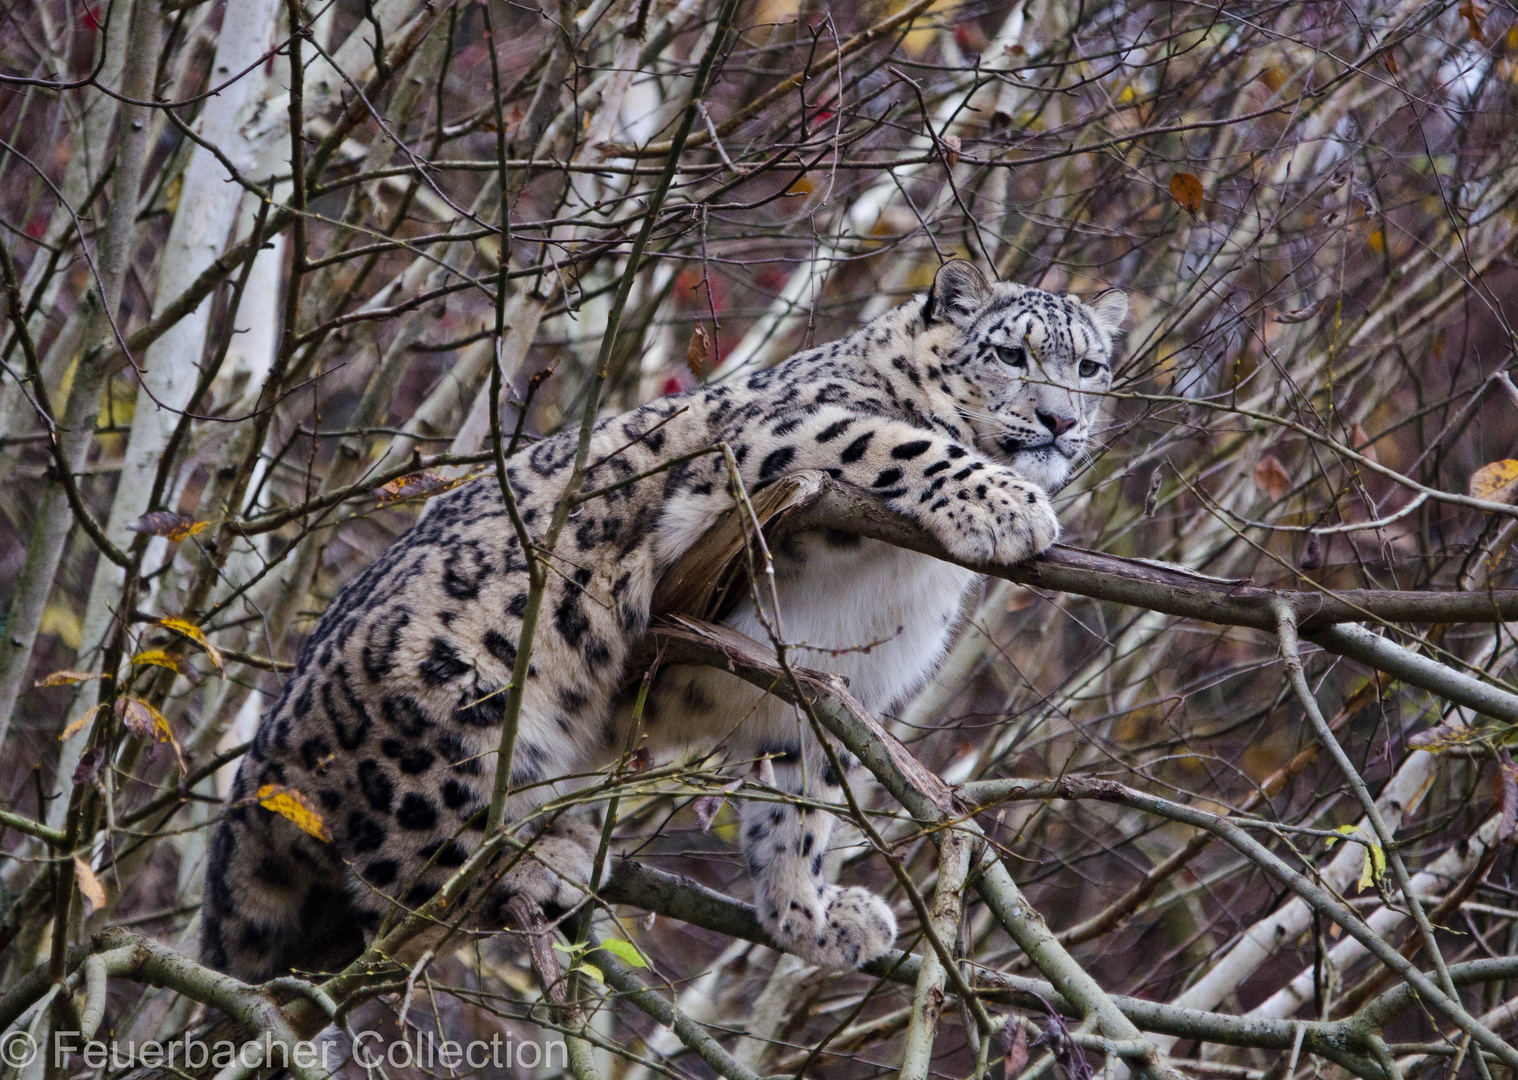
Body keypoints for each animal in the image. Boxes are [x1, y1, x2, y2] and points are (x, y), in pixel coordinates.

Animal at [201, 259, 1129, 978]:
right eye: (1010, 353)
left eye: (1089, 366)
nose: (1060, 421)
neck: (903, 573)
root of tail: (254, 777)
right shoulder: (777, 435)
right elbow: (900, 442)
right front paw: (1009, 506)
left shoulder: (819, 684)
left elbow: (799, 811)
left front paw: (810, 915)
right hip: (452, 701)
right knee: (407, 876)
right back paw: (546, 861)